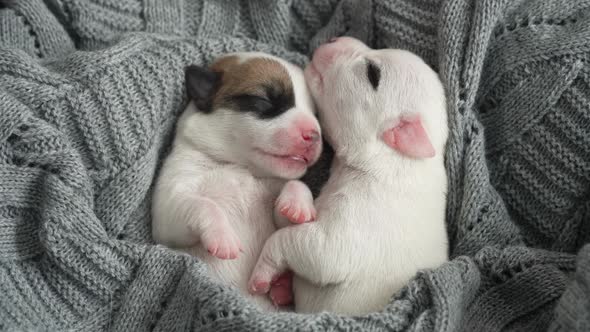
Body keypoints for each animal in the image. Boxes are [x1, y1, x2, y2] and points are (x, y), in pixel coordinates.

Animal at [150, 51, 322, 308]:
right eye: (265, 100)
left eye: (315, 113)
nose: (314, 135)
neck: (239, 166)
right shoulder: (168, 210)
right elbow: (203, 204)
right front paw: (223, 238)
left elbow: (294, 188)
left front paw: (298, 206)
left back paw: (281, 286)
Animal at [247, 37, 450, 316]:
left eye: (373, 73)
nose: (334, 38)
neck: (392, 161)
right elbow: (291, 215)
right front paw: (295, 205)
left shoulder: (348, 236)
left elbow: (297, 244)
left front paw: (263, 274)